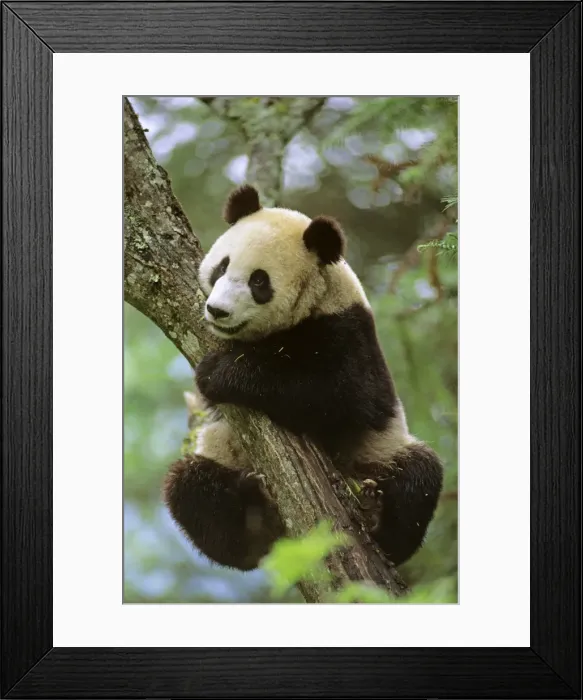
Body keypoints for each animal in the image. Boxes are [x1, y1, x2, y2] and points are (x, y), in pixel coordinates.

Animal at [163, 185, 443, 571]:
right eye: (222, 266)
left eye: (259, 280)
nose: (217, 311)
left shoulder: (348, 332)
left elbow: (342, 396)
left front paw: (220, 372)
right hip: (220, 452)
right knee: (190, 489)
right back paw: (253, 515)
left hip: (379, 450)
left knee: (419, 477)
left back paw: (378, 520)